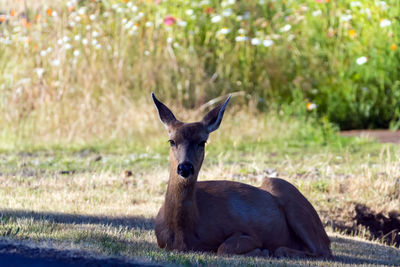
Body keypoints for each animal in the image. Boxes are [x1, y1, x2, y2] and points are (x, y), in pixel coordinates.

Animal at [152, 93, 332, 258]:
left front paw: (261, 250)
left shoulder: (249, 233)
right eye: (171, 141)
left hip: (286, 192)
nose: (185, 168)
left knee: (321, 251)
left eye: (202, 142)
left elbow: (224, 248)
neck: (182, 233)